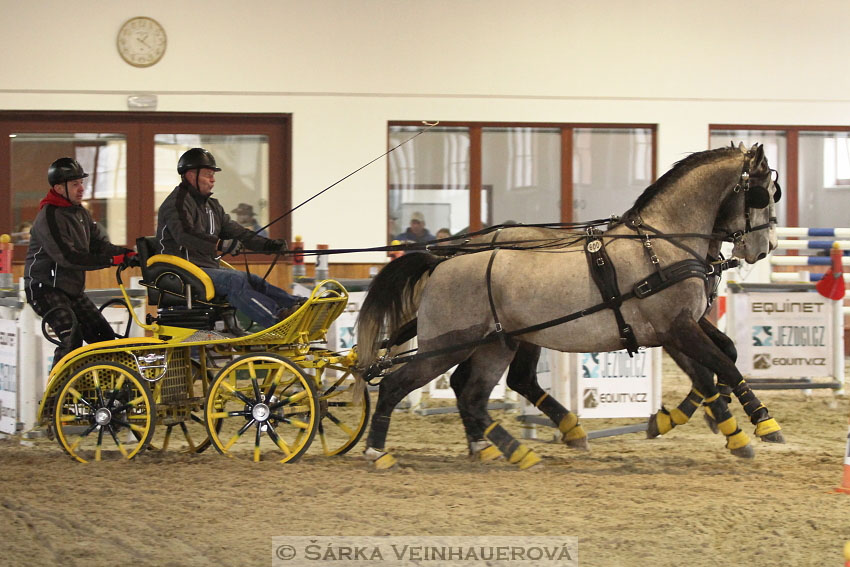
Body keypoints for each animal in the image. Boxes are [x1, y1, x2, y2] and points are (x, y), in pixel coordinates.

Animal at [354, 143, 780, 470]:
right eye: (761, 195)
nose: (765, 248)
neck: (662, 245)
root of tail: (443, 261)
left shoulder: (682, 326)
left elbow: (722, 358)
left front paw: (707, 420)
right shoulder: (675, 328)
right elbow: (719, 366)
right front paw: (759, 423)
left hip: (497, 344)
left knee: (474, 391)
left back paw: (507, 448)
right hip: (448, 345)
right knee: (399, 384)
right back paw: (378, 451)